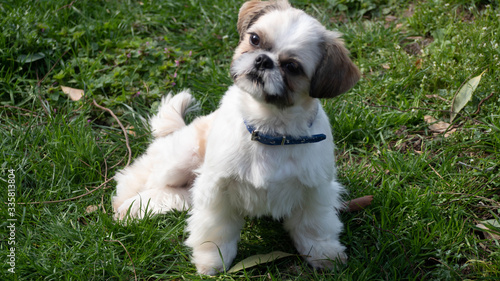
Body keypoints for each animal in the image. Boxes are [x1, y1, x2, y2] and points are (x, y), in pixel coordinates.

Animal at [112, 0, 360, 274]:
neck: (269, 130)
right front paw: (212, 260)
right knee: (138, 177)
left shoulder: (315, 189)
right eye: (255, 39)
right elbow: (216, 228)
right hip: (181, 159)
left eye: (292, 67)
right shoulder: (216, 188)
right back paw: (125, 206)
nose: (263, 60)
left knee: (169, 194)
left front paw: (323, 254)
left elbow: (314, 226)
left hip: (187, 187)